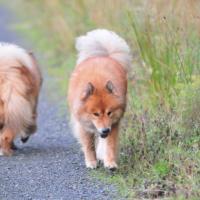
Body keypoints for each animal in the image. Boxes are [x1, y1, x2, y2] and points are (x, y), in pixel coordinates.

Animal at [68, 28, 132, 169]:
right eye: (95, 114)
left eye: (109, 112)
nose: (105, 130)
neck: (98, 82)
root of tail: (104, 55)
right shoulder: (84, 126)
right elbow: (89, 145)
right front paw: (91, 162)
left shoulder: (113, 124)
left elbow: (110, 145)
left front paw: (110, 162)